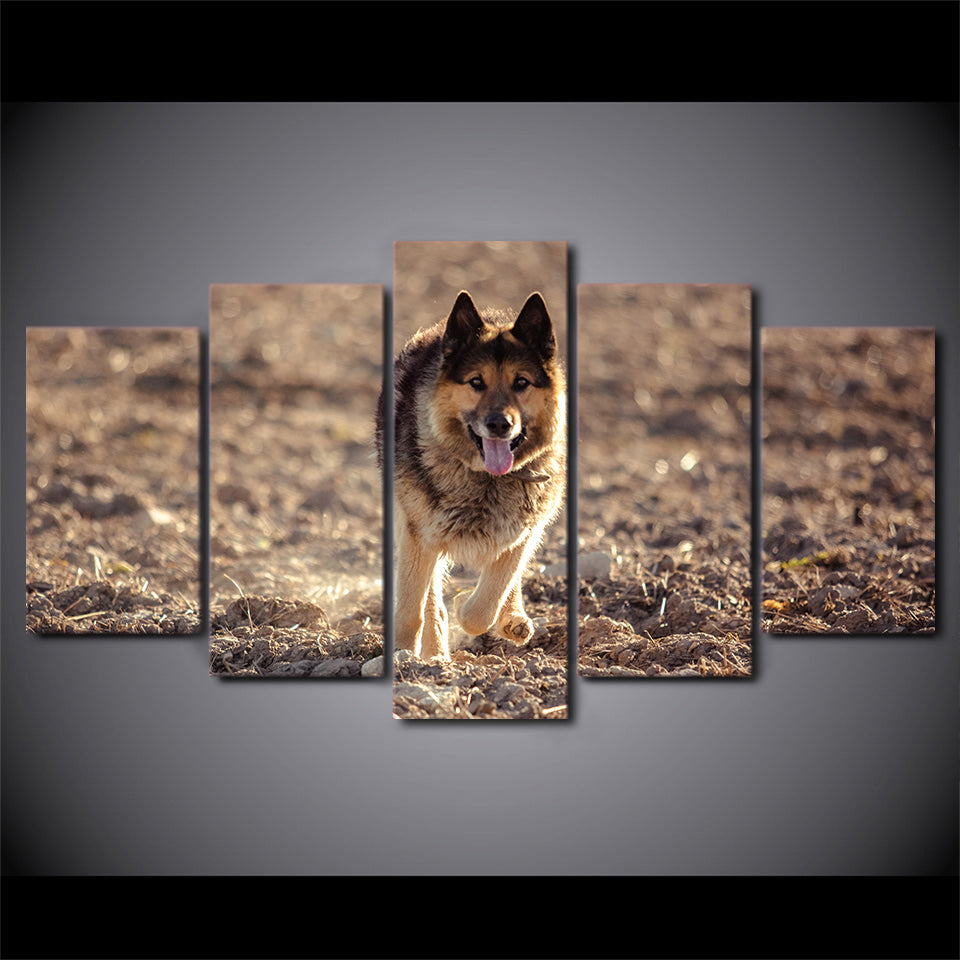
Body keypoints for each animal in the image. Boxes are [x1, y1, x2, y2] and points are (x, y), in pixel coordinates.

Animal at [376, 290, 566, 661]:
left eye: (521, 383)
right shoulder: (419, 535)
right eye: (476, 382)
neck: (488, 480)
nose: (499, 424)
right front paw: (406, 657)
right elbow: (413, 609)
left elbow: (489, 600)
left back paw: (513, 620)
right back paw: (435, 655)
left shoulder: (522, 532)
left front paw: (474, 608)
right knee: (429, 599)